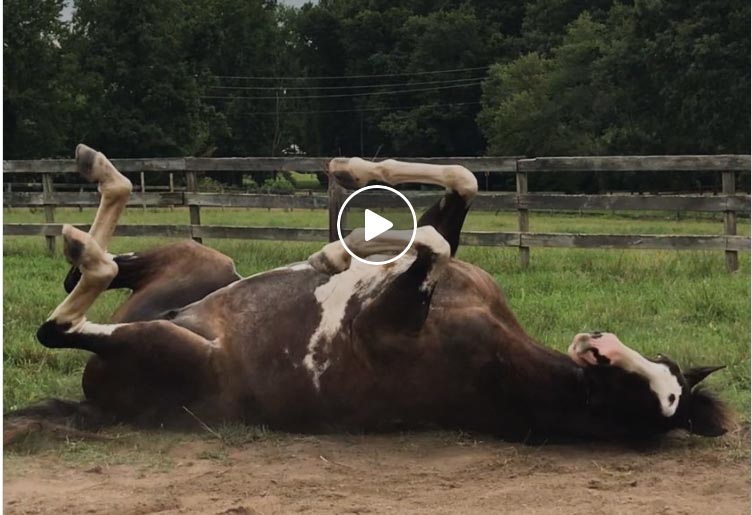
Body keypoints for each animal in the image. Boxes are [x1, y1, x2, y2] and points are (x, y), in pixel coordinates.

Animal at [22, 146, 728, 444]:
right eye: (659, 371)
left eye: (663, 396)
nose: (597, 342)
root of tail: (92, 403)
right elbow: (460, 189)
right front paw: (345, 201)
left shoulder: (389, 319)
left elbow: (431, 243)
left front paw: (334, 252)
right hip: (202, 264)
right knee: (95, 273)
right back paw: (93, 186)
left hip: (164, 344)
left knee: (62, 322)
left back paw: (85, 237)